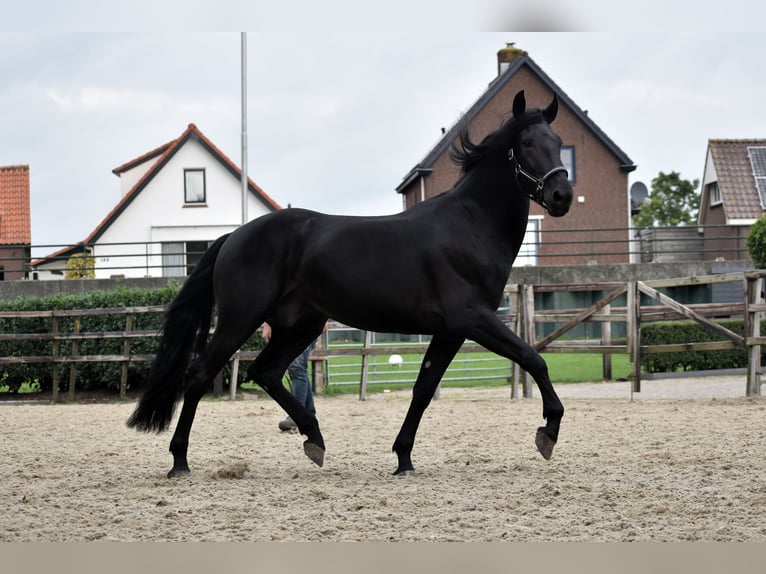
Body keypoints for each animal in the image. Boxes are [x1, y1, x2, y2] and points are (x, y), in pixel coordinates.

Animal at [129, 90, 576, 476]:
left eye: (558, 142)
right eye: (527, 143)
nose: (561, 196)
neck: (470, 225)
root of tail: (232, 237)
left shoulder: (449, 332)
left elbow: (423, 389)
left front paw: (403, 458)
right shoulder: (474, 319)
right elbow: (534, 358)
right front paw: (548, 432)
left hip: (300, 324)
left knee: (265, 371)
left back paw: (314, 439)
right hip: (241, 319)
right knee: (200, 374)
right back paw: (180, 461)